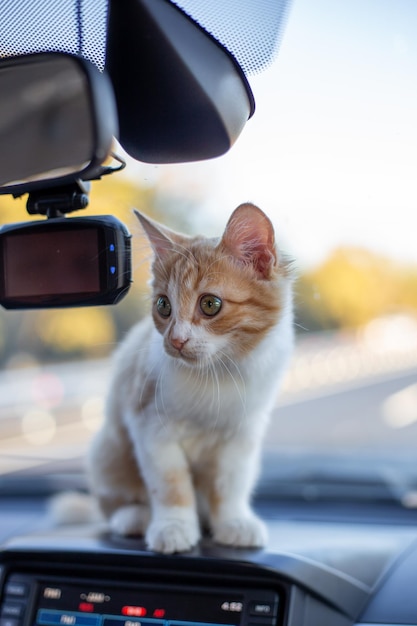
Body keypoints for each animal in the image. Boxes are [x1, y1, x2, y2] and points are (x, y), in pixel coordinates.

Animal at [87, 204, 292, 552]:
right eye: (163, 306)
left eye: (210, 304)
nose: (177, 340)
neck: (216, 374)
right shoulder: (150, 428)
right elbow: (170, 485)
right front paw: (173, 527)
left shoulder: (242, 435)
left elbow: (230, 484)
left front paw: (233, 522)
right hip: (106, 451)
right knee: (112, 502)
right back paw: (134, 517)